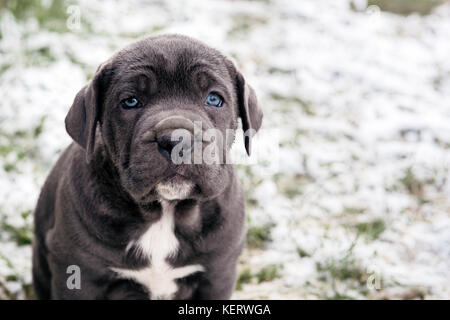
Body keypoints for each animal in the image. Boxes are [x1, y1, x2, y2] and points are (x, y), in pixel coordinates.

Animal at [32, 33, 264, 298]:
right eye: (131, 101)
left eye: (214, 99)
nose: (176, 139)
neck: (164, 211)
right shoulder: (79, 274)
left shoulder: (218, 273)